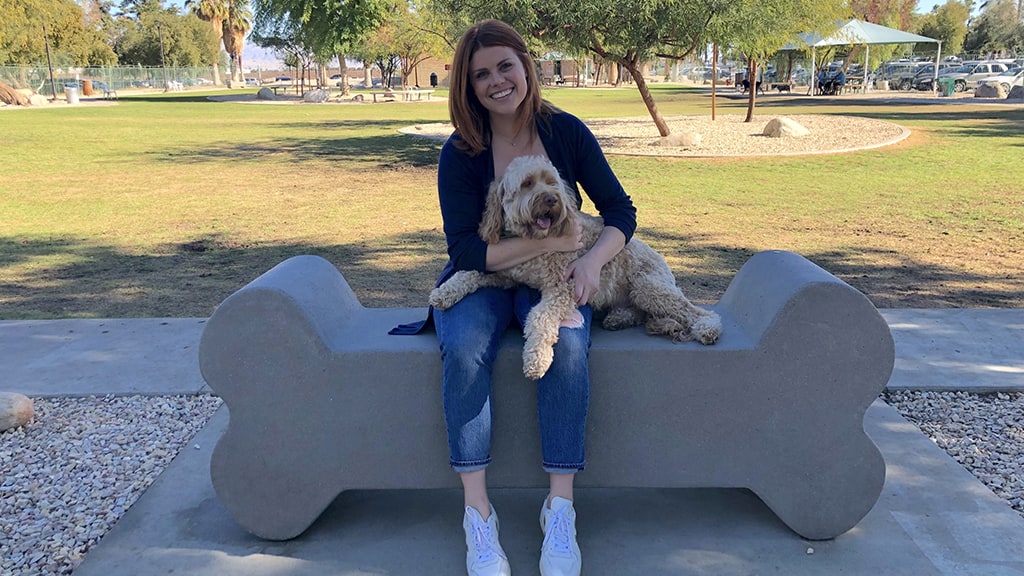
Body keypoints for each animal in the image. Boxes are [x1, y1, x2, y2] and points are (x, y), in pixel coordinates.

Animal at [428, 154, 724, 379]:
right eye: (527, 184)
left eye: (551, 182)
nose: (551, 199)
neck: (534, 242)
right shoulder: (506, 274)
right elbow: (470, 273)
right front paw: (444, 292)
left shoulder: (564, 287)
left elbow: (540, 317)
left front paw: (536, 359)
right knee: (641, 313)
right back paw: (619, 318)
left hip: (648, 287)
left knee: (695, 311)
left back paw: (707, 328)